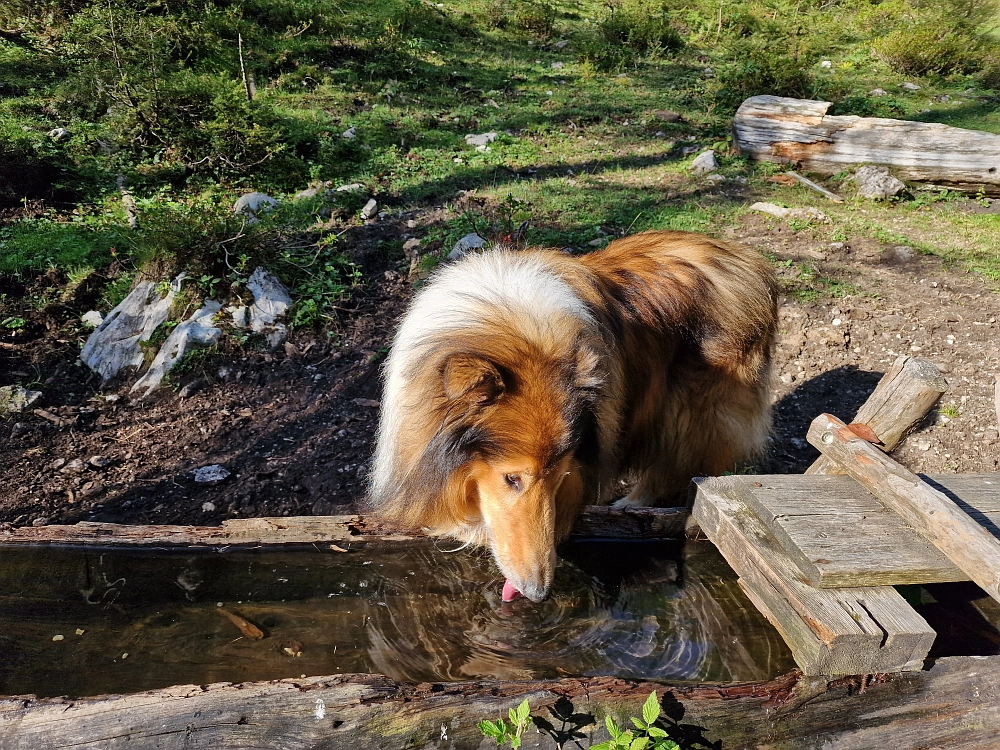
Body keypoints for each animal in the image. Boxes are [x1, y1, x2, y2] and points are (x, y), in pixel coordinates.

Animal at [366, 232, 772, 604]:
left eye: (558, 477)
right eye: (511, 479)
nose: (538, 593)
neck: (519, 336)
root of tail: (750, 261)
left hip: (687, 413)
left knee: (676, 466)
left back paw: (631, 503)